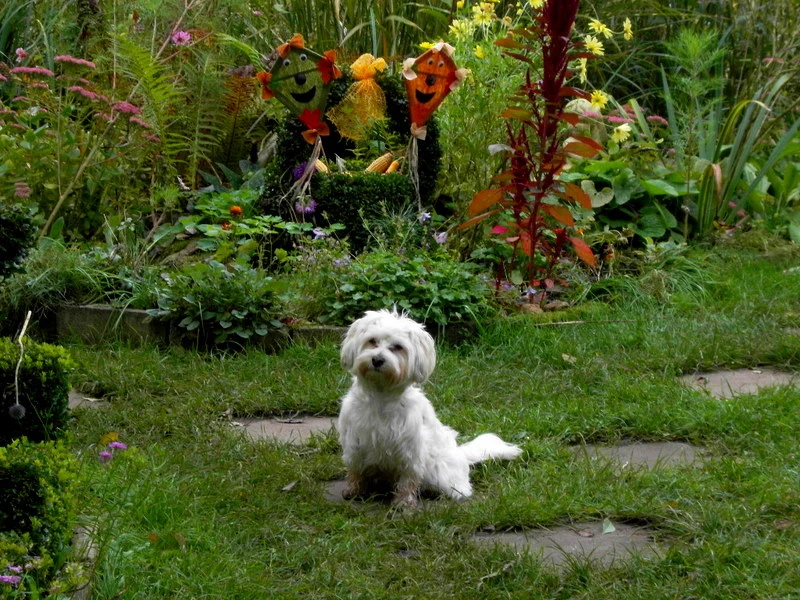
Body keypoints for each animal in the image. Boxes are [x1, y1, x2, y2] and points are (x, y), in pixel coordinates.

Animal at [337, 309, 522, 506]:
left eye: (398, 347)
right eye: (372, 341)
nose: (377, 360)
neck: (381, 395)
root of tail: (461, 454)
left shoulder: (410, 448)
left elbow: (408, 477)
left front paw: (403, 501)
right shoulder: (355, 441)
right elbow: (355, 470)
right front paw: (354, 490)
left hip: (441, 473)